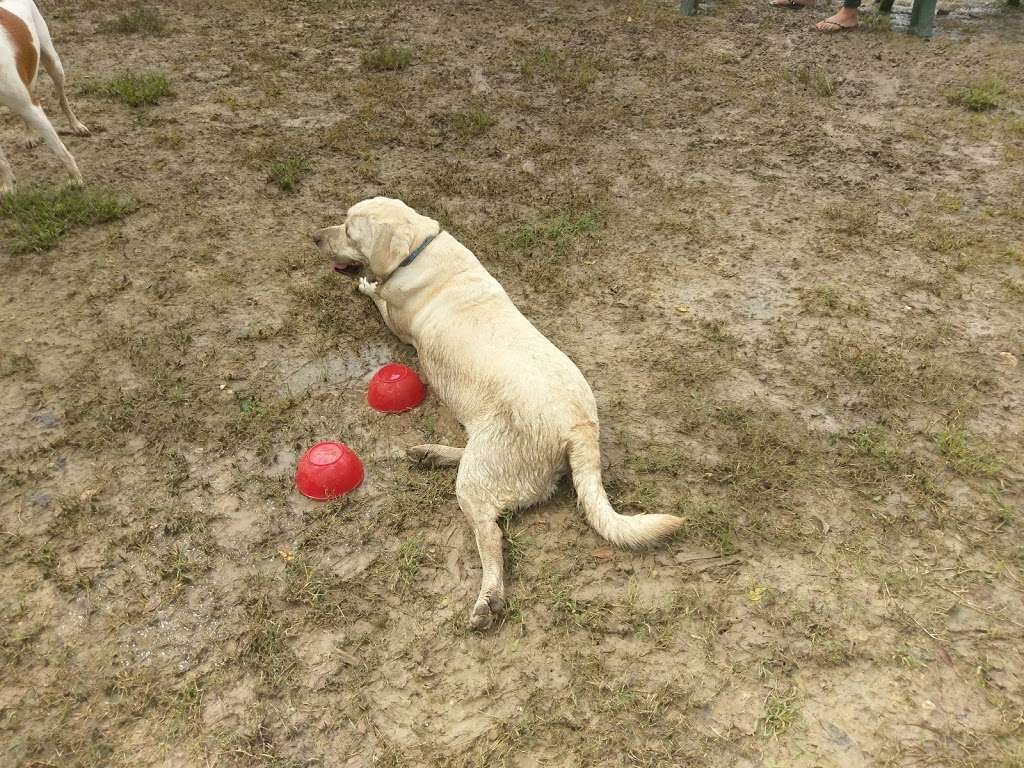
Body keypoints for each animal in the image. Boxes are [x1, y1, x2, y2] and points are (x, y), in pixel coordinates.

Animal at [1, 0, 88, 196]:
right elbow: (2, 161)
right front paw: (8, 187)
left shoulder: (29, 105)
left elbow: (60, 150)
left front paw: (76, 180)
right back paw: (30, 135)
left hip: (53, 64)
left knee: (62, 99)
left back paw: (76, 125)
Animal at [307, 199, 684, 630]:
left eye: (350, 232)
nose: (314, 236)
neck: (419, 247)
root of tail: (581, 426)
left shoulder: (394, 318)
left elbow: (377, 295)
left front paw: (366, 284)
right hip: (492, 456)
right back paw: (430, 454)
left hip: (479, 476)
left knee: (491, 535)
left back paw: (488, 599)